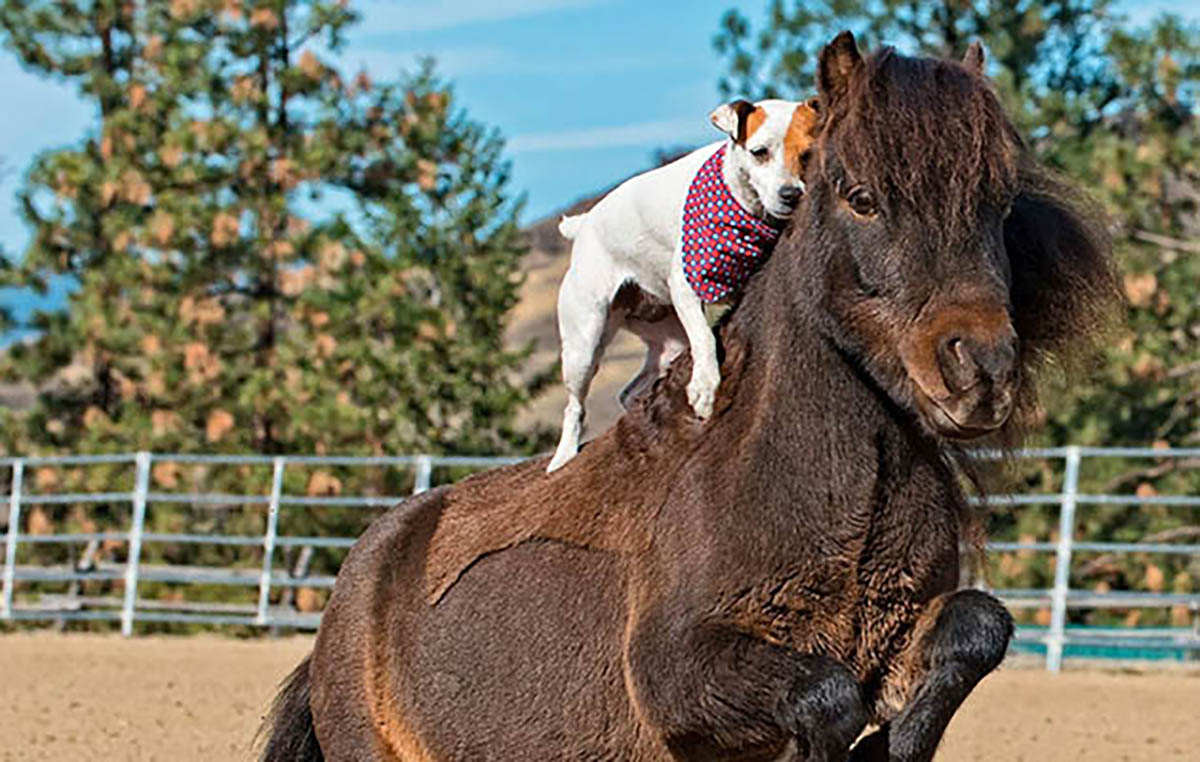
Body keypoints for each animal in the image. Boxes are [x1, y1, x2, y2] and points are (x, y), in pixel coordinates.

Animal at [549, 98, 820, 475]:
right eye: (759, 152)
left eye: (807, 154)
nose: (791, 195)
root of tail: (583, 224)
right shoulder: (686, 284)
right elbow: (705, 338)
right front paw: (705, 387)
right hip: (585, 340)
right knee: (574, 405)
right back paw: (563, 456)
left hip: (669, 342)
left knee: (630, 390)